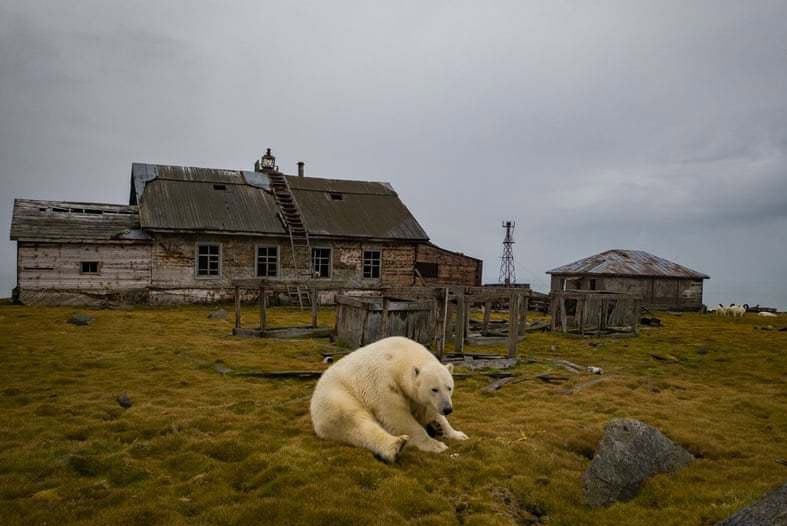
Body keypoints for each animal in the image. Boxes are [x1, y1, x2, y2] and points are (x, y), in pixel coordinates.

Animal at [308, 336, 468, 464]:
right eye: (434, 389)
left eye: (449, 387)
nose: (447, 409)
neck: (399, 356)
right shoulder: (383, 382)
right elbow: (396, 415)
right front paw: (436, 445)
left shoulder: (416, 398)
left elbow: (429, 410)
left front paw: (457, 434)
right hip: (337, 398)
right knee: (355, 422)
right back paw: (395, 446)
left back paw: (435, 427)